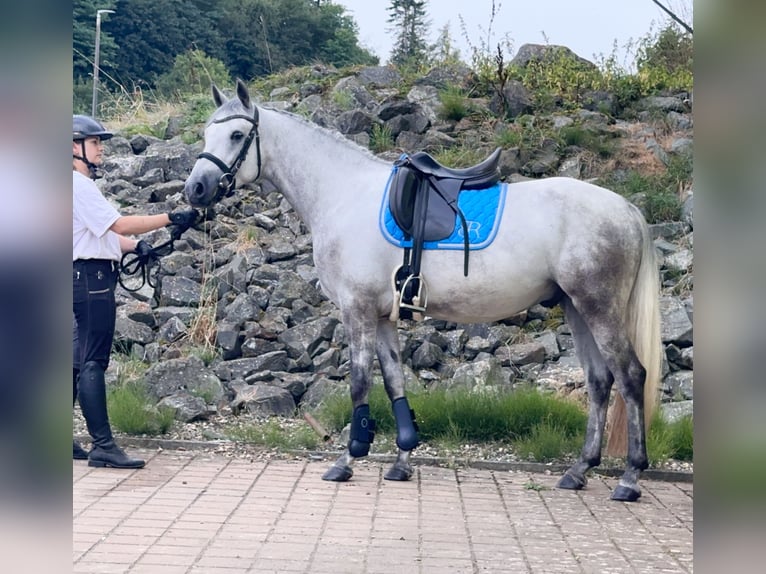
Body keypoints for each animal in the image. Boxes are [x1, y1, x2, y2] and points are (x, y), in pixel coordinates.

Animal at [186, 81, 664, 504]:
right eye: (206, 133)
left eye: (236, 135)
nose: (196, 189)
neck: (342, 195)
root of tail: (626, 209)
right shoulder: (382, 316)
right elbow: (395, 381)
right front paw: (401, 460)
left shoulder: (357, 311)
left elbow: (359, 384)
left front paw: (347, 460)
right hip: (575, 307)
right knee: (599, 381)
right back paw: (579, 470)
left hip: (599, 307)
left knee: (630, 376)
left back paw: (630, 478)